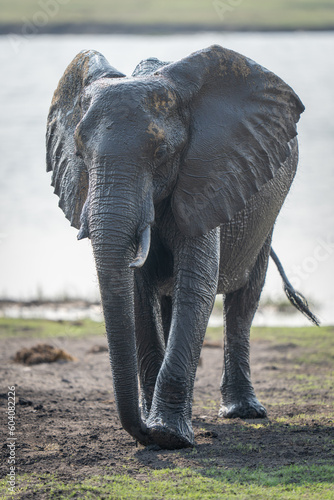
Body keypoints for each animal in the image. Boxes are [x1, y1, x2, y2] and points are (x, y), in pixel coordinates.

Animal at [47, 44, 318, 450]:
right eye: (80, 153)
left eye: (161, 152)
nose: (143, 431)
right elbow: (138, 293)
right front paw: (157, 433)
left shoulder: (208, 176)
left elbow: (197, 284)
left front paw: (169, 436)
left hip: (267, 211)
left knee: (244, 300)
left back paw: (243, 412)